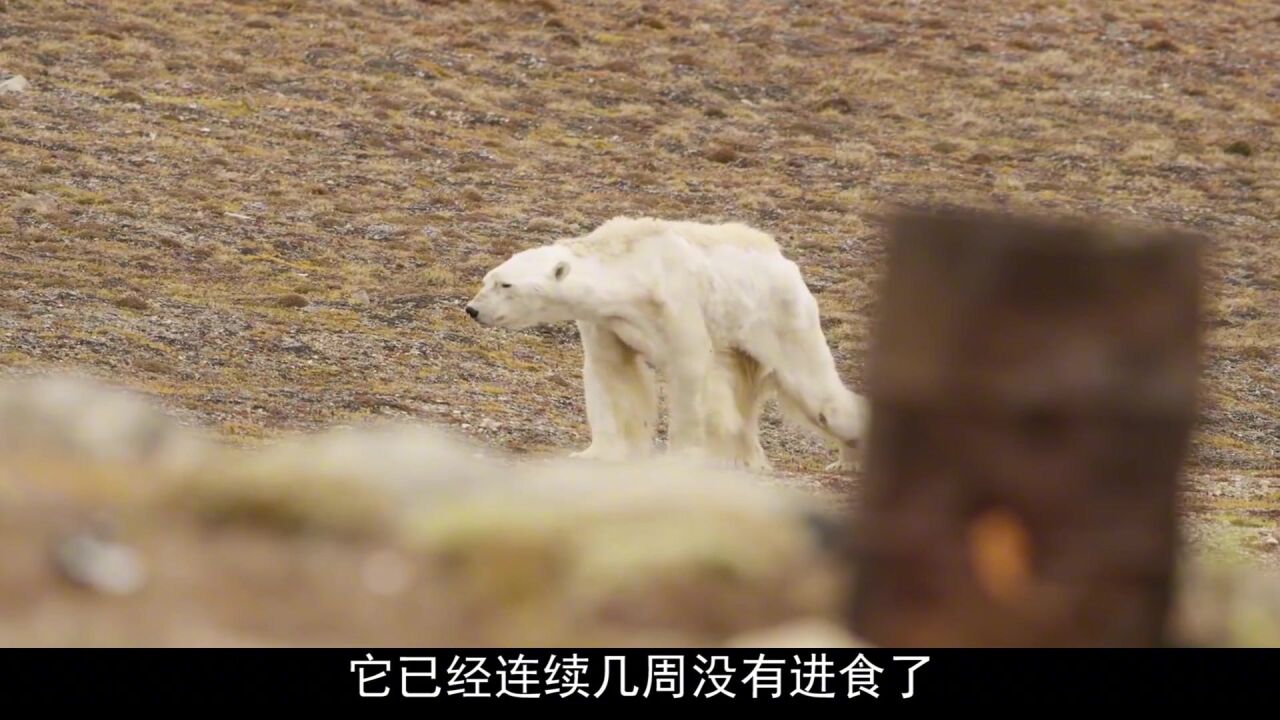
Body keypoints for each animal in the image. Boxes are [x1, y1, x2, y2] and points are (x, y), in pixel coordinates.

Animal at [465, 213, 875, 471]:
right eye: (488, 278)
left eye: (506, 285)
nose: (472, 309)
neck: (634, 269)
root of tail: (786, 262)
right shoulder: (606, 321)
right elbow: (610, 373)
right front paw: (597, 453)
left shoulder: (676, 301)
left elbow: (688, 367)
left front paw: (681, 457)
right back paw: (742, 458)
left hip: (780, 318)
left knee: (817, 395)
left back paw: (848, 460)